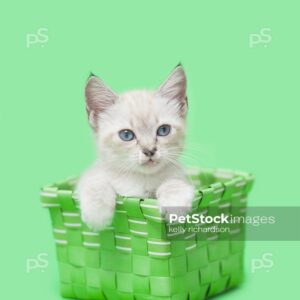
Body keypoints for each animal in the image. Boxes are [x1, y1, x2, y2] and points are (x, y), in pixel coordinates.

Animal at [77, 65, 195, 230]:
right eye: (126, 135)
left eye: (163, 130)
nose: (149, 150)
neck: (140, 179)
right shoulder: (90, 175)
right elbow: (95, 183)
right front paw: (97, 214)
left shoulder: (182, 177)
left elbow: (174, 183)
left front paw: (174, 204)